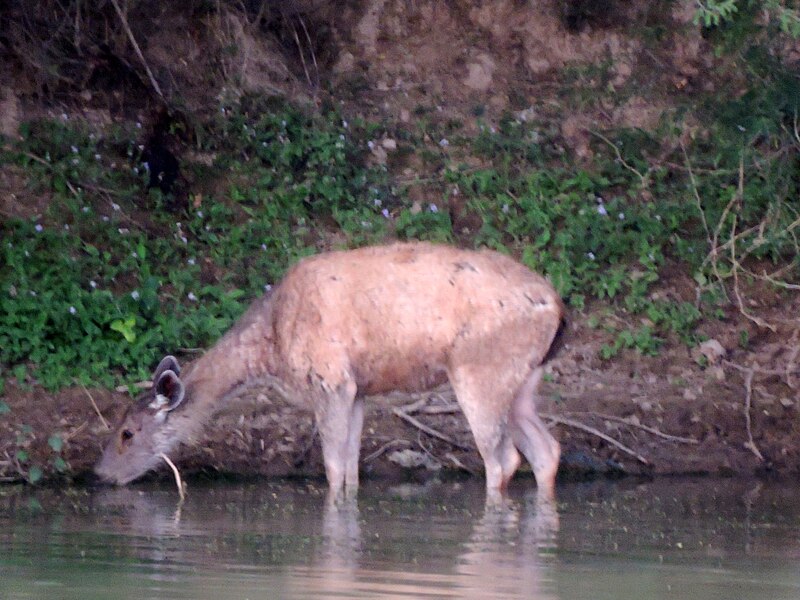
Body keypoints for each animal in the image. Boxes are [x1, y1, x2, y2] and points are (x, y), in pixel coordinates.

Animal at [97, 241, 564, 500]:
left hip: (479, 369)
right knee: (546, 450)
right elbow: (352, 469)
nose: (98, 474)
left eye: (127, 433)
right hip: (522, 381)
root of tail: (558, 307)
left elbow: (333, 469)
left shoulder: (331, 380)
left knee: (502, 459)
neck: (272, 346)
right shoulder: (356, 391)